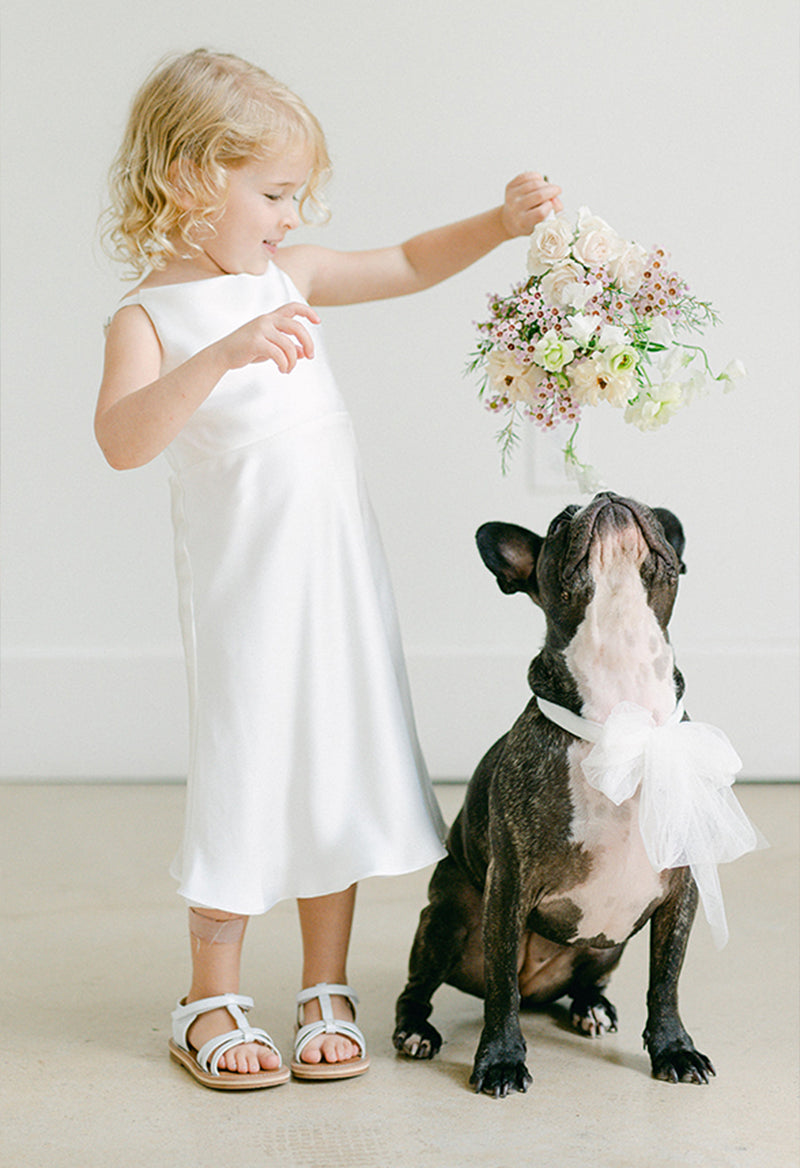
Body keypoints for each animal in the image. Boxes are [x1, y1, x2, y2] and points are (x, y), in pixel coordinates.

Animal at [393, 491, 717, 1097]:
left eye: (653, 514)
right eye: (561, 521)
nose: (608, 496)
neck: (622, 709)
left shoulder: (679, 892)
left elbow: (666, 981)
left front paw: (674, 1049)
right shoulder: (509, 885)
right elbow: (501, 990)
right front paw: (500, 1060)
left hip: (609, 945)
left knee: (585, 980)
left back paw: (591, 1006)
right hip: (448, 915)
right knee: (428, 987)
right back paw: (416, 1031)